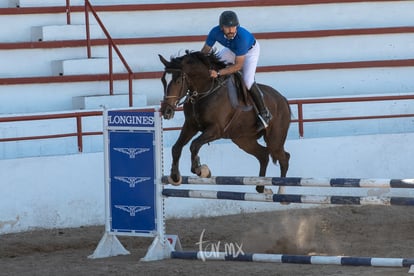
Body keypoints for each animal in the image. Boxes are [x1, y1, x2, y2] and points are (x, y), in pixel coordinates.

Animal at [158, 50, 292, 194]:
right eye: (163, 81)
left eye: (178, 81)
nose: (166, 111)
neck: (204, 91)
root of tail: (283, 99)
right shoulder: (190, 125)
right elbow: (176, 148)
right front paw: (175, 176)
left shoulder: (216, 130)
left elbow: (194, 145)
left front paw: (202, 170)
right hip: (243, 139)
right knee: (263, 155)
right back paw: (262, 188)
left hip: (274, 140)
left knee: (284, 158)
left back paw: (281, 193)